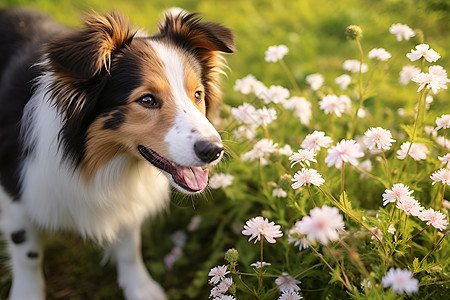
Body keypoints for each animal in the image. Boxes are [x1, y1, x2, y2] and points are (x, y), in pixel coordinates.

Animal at [0, 7, 237, 300]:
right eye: (147, 100)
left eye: (197, 95)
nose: (214, 151)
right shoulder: (16, 194)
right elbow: (28, 256)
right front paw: (27, 293)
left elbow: (128, 246)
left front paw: (140, 287)